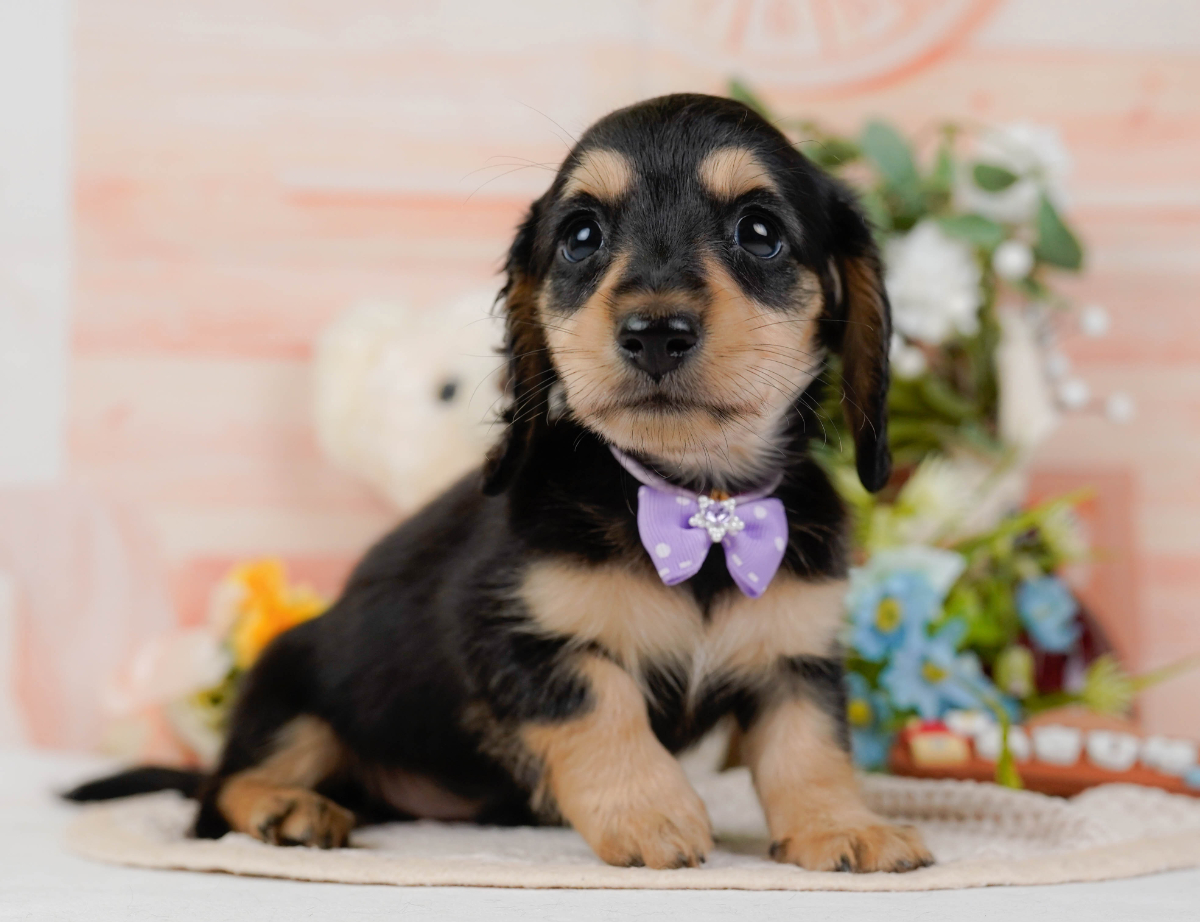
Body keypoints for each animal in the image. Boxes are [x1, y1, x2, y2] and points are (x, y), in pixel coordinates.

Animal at [68, 93, 932, 873]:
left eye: (760, 231)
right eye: (581, 235)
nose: (654, 332)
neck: (699, 505)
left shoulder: (797, 656)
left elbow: (809, 748)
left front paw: (841, 827)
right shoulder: (518, 636)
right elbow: (602, 706)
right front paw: (649, 812)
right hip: (290, 685)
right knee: (221, 794)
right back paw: (288, 807)